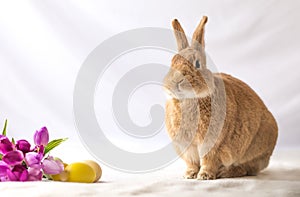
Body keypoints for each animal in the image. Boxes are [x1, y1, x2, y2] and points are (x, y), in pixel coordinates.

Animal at [163, 16, 278, 180]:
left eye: (197, 64)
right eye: (172, 62)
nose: (176, 81)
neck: (190, 99)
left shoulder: (212, 144)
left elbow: (208, 160)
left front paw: (204, 176)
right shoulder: (187, 147)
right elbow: (192, 162)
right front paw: (189, 175)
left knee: (248, 168)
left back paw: (225, 172)